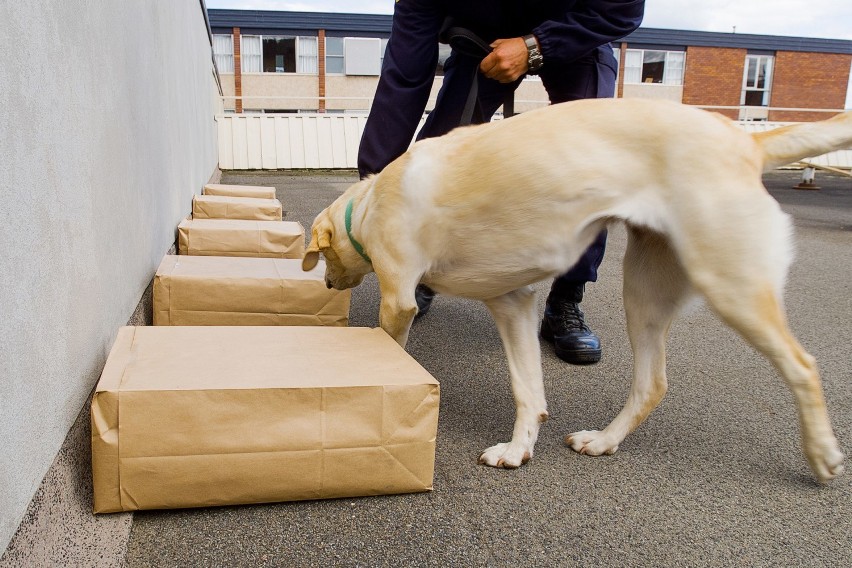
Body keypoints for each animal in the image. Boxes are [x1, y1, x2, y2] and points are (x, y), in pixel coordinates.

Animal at [302, 100, 848, 482]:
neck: (367, 205)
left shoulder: (399, 299)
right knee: (652, 383)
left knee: (803, 365)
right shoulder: (513, 304)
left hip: (731, 285)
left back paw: (822, 453)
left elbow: (394, 348)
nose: (327, 282)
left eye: (324, 260)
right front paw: (519, 448)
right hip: (644, 293)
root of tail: (744, 141)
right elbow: (528, 390)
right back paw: (604, 441)